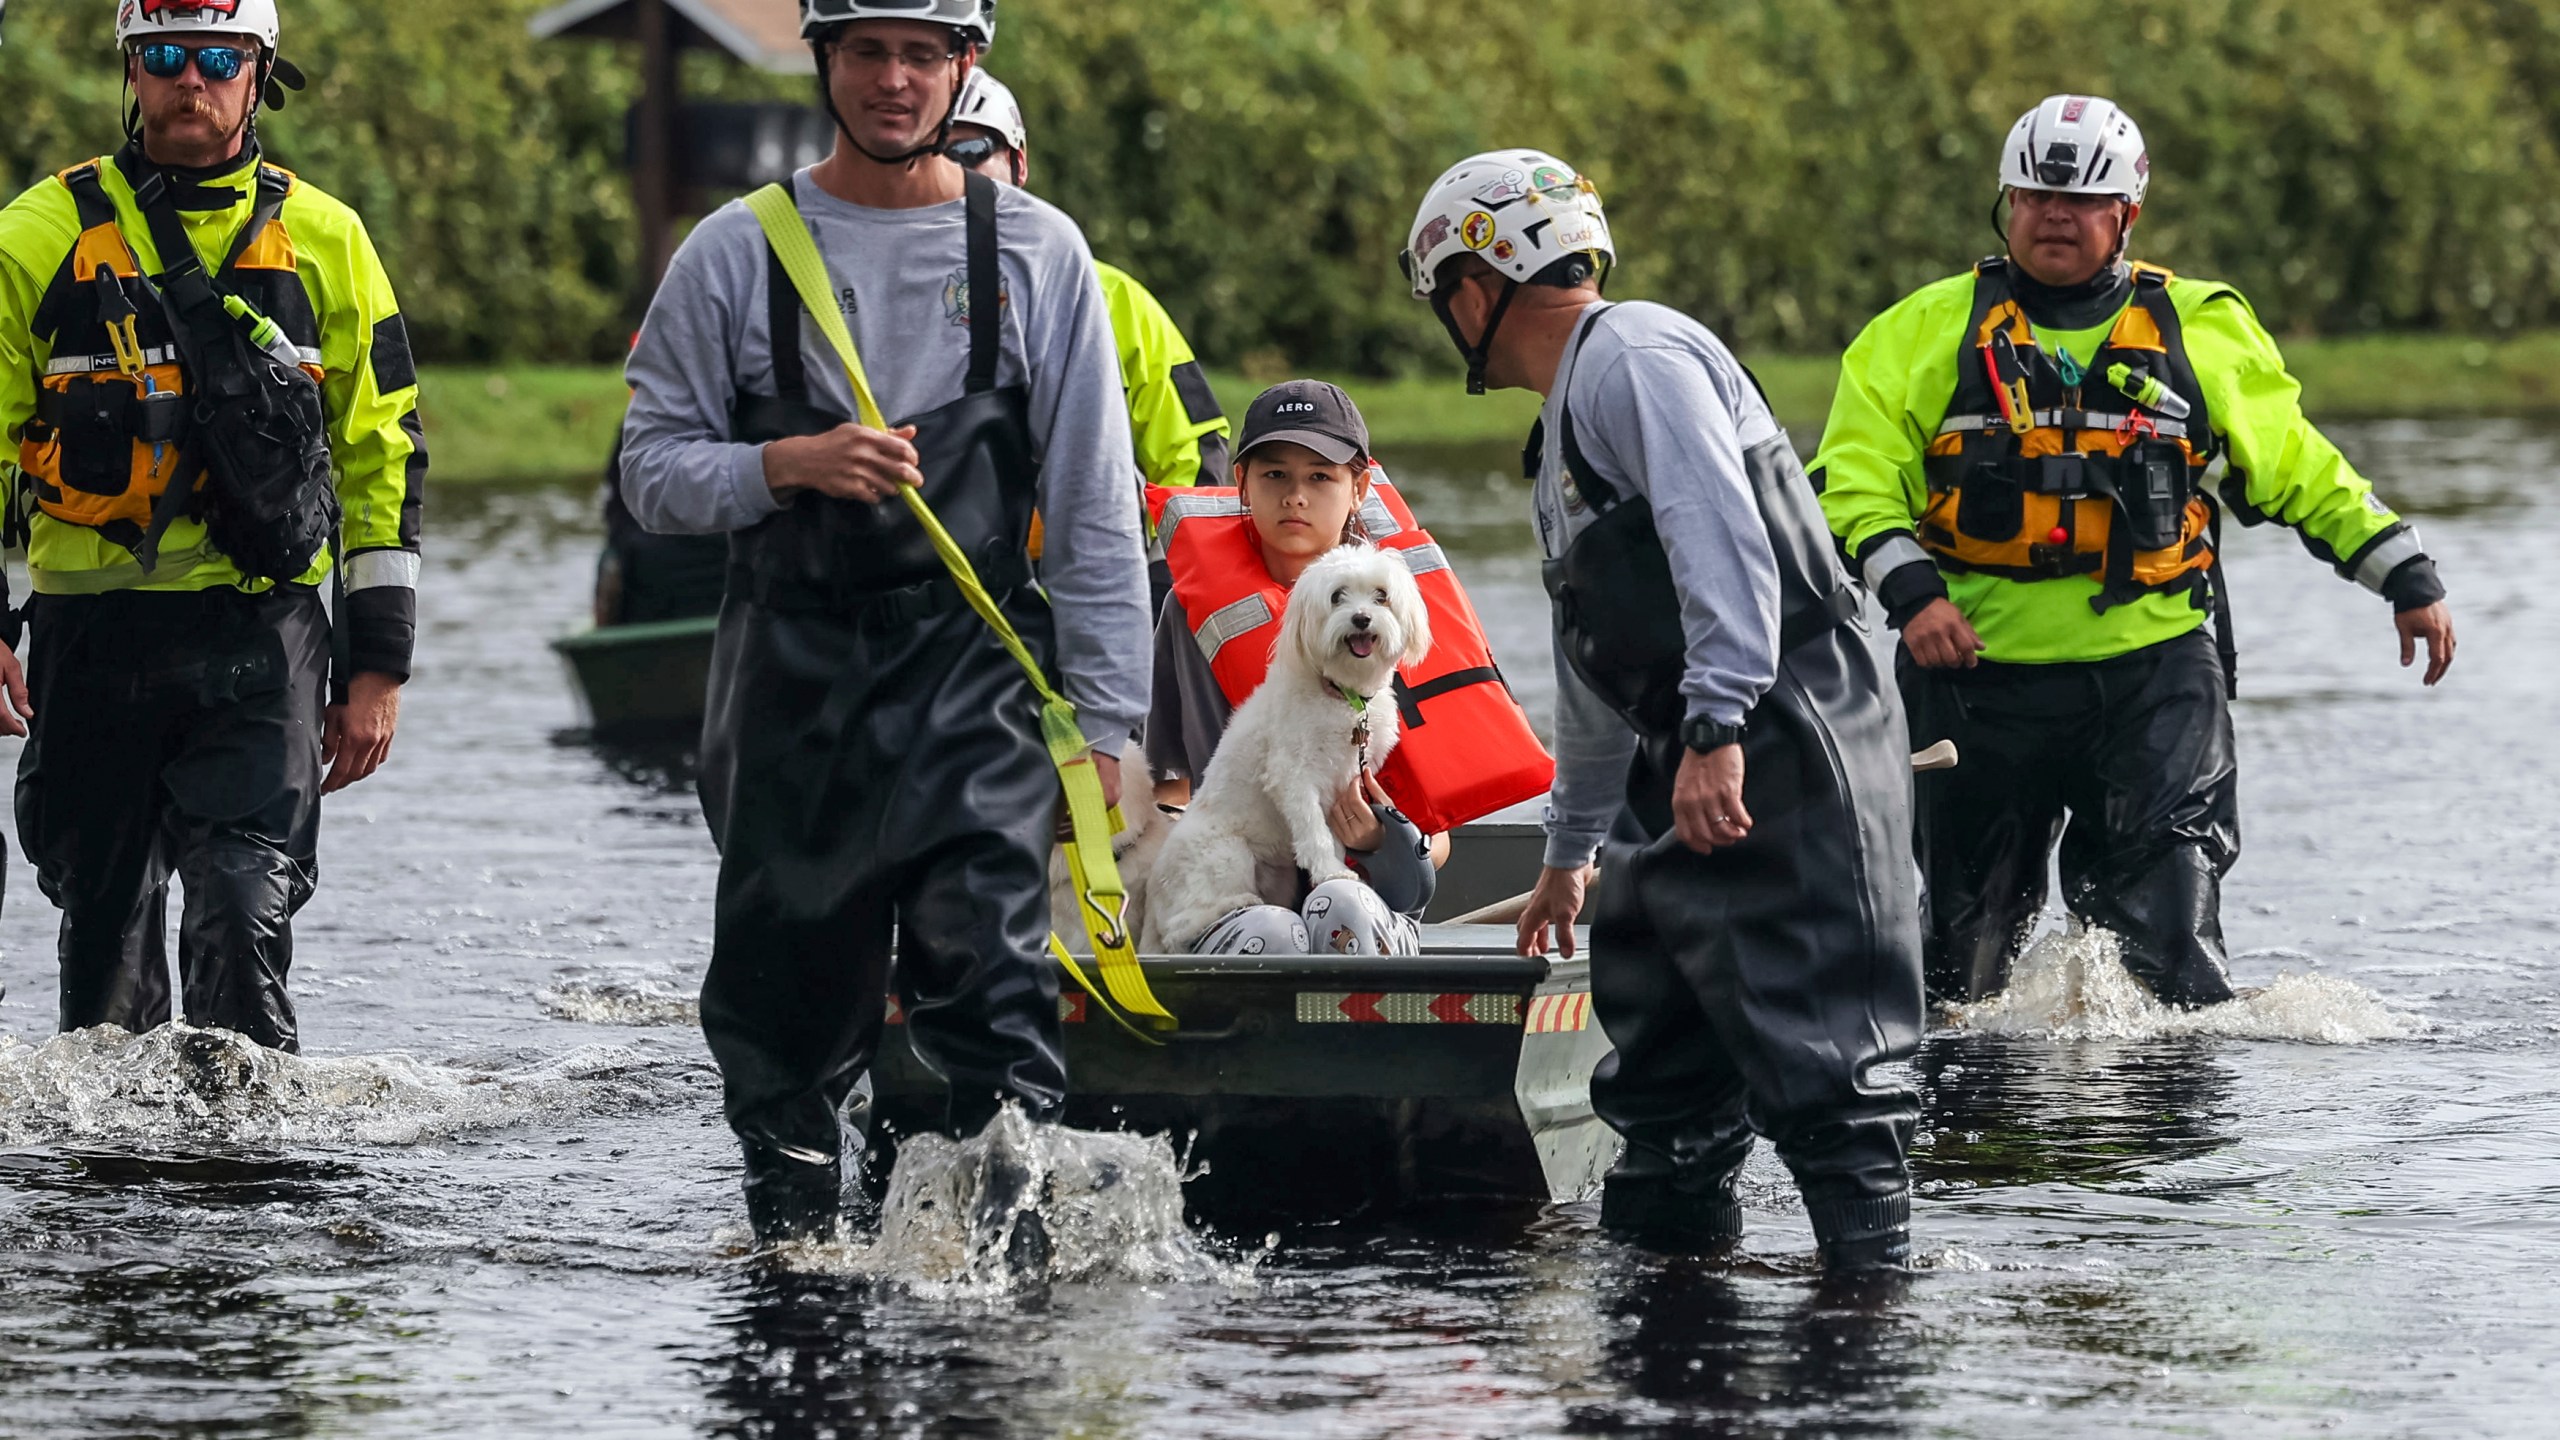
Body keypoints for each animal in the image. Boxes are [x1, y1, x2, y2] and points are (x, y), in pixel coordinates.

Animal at [1146, 543, 1433, 958]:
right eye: (1337, 596)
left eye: (1381, 595)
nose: (1362, 618)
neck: (1341, 696)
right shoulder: (1293, 777)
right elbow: (1314, 831)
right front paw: (1331, 871)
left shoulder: (1343, 782)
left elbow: (1330, 835)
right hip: (1224, 853)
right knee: (1180, 927)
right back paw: (1234, 902)